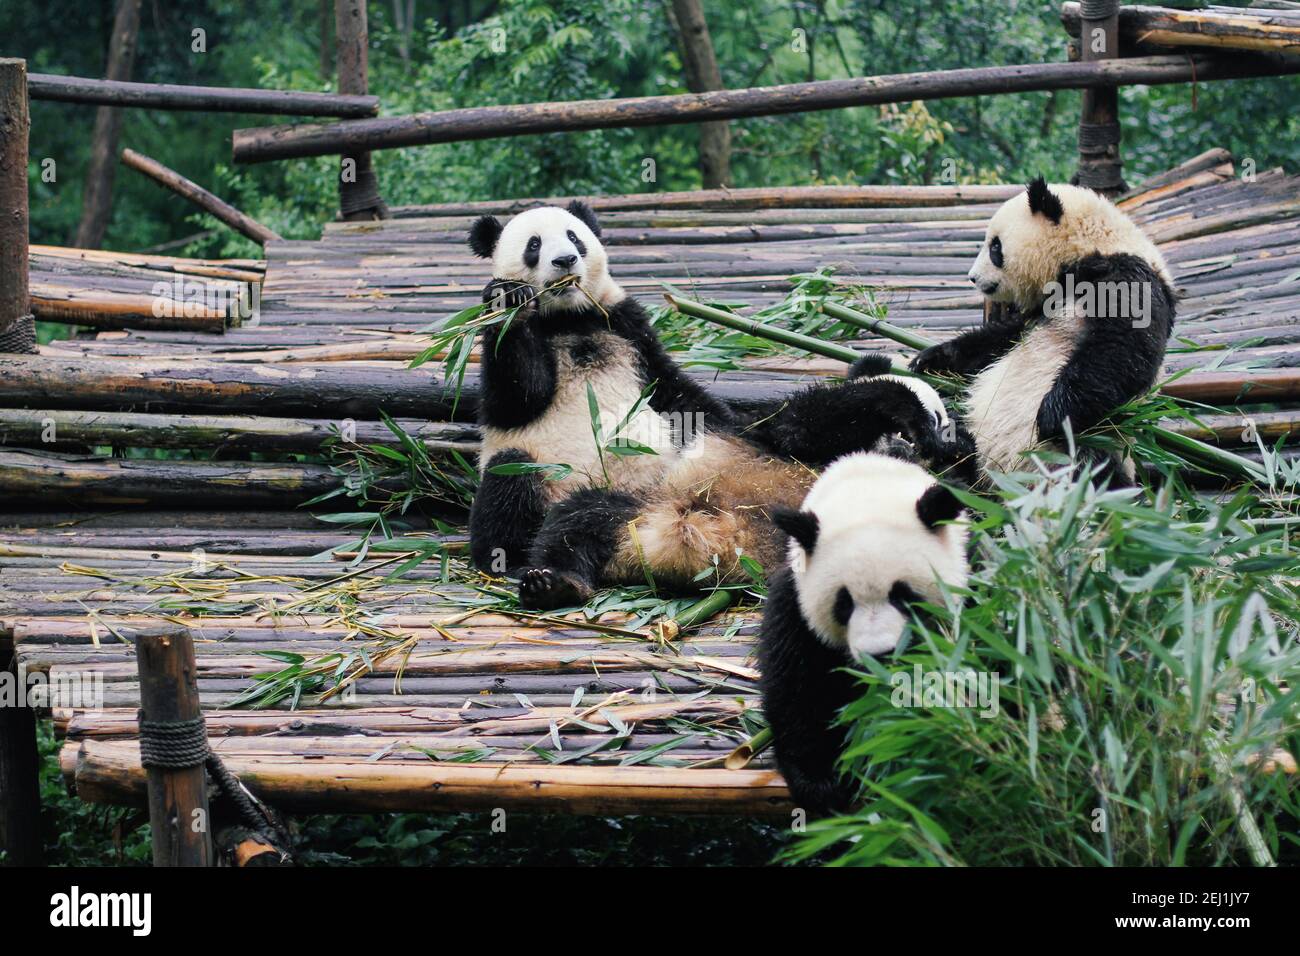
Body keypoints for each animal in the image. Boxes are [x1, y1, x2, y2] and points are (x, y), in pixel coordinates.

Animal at [464, 201, 958, 609]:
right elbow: (514, 397)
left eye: (574, 237)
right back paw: (537, 574)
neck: (570, 319)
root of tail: (705, 545)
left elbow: (685, 398)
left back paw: (557, 583)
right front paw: (508, 300)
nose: (565, 261)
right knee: (523, 488)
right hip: (556, 478)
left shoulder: (630, 329)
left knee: (584, 516)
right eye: (533, 245)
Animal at [759, 451, 970, 816]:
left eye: (903, 596)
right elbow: (797, 688)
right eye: (843, 604)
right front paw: (822, 782)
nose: (880, 655)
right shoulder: (794, 606)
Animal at [910, 178, 1175, 479]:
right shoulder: (1043, 306)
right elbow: (1000, 339)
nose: (973, 277)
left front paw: (1051, 416)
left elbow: (1121, 348)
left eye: (995, 247)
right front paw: (930, 359)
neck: (1093, 246)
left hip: (1093, 448)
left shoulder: (1128, 274)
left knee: (1092, 471)